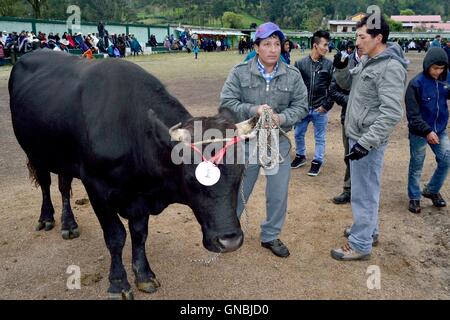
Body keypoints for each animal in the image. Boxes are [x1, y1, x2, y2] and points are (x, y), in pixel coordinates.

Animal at [9, 50, 253, 300]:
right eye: (191, 179)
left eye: (240, 173)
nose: (230, 241)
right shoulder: (95, 187)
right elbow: (115, 236)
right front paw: (118, 283)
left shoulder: (140, 196)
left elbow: (139, 234)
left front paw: (144, 275)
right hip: (34, 152)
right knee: (46, 184)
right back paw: (46, 218)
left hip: (62, 157)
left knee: (64, 185)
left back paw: (69, 224)